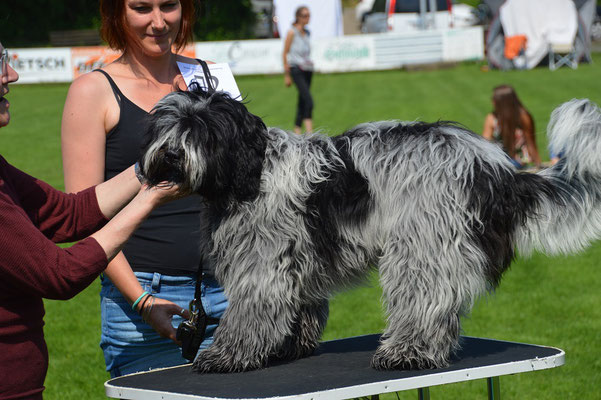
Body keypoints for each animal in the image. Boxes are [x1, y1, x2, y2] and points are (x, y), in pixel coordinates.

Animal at [138, 86, 600, 372]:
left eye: (203, 131)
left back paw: (406, 353)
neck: (249, 171)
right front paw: (287, 348)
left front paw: (225, 356)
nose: (170, 155)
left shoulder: (263, 263)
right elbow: (296, 309)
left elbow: (249, 313)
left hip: (421, 248)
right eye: (166, 126)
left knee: (424, 304)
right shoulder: (295, 260)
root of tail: (497, 171)